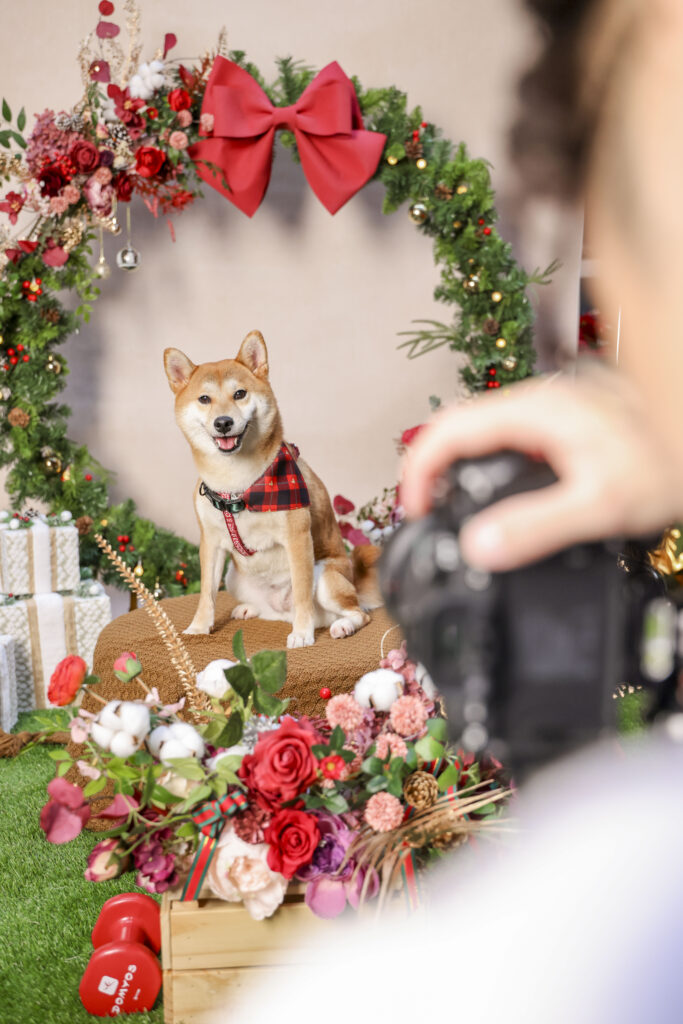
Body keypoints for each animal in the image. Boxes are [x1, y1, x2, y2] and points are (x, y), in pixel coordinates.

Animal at [163, 329, 382, 647]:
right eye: (204, 399)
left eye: (239, 394)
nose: (223, 422)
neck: (237, 483)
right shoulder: (211, 543)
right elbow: (206, 593)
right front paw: (199, 627)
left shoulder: (297, 537)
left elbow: (302, 592)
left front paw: (302, 634)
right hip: (233, 577)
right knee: (271, 613)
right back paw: (248, 609)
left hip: (327, 577)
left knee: (357, 613)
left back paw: (340, 626)